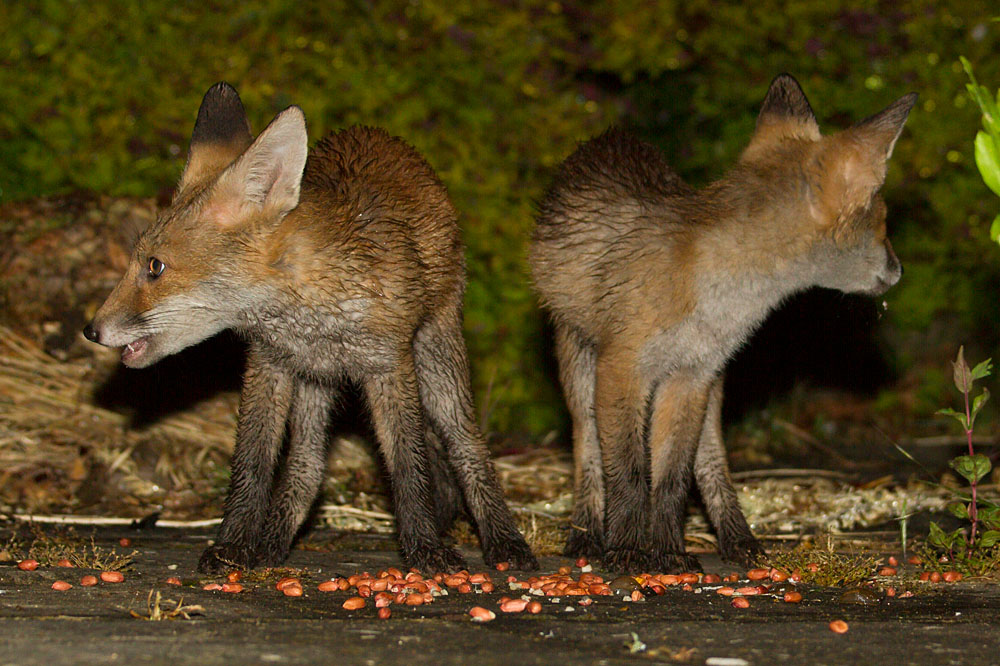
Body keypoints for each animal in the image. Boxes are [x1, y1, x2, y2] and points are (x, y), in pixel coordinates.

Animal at [83, 82, 537, 573]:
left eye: (155, 267)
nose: (91, 330)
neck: (311, 314)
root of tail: (381, 135)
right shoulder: (269, 365)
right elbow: (253, 463)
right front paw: (233, 544)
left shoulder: (388, 367)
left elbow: (407, 465)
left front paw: (425, 549)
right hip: (316, 386)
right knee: (308, 464)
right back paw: (274, 541)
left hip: (436, 359)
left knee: (467, 444)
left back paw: (504, 539)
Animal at [530, 74, 916, 572]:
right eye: (883, 224)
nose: (899, 271)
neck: (718, 296)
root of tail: (607, 140)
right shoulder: (622, 369)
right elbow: (629, 474)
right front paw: (629, 550)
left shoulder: (692, 374)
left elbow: (672, 478)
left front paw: (668, 551)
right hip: (579, 365)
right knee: (586, 449)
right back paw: (585, 533)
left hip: (711, 389)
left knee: (710, 459)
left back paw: (737, 537)